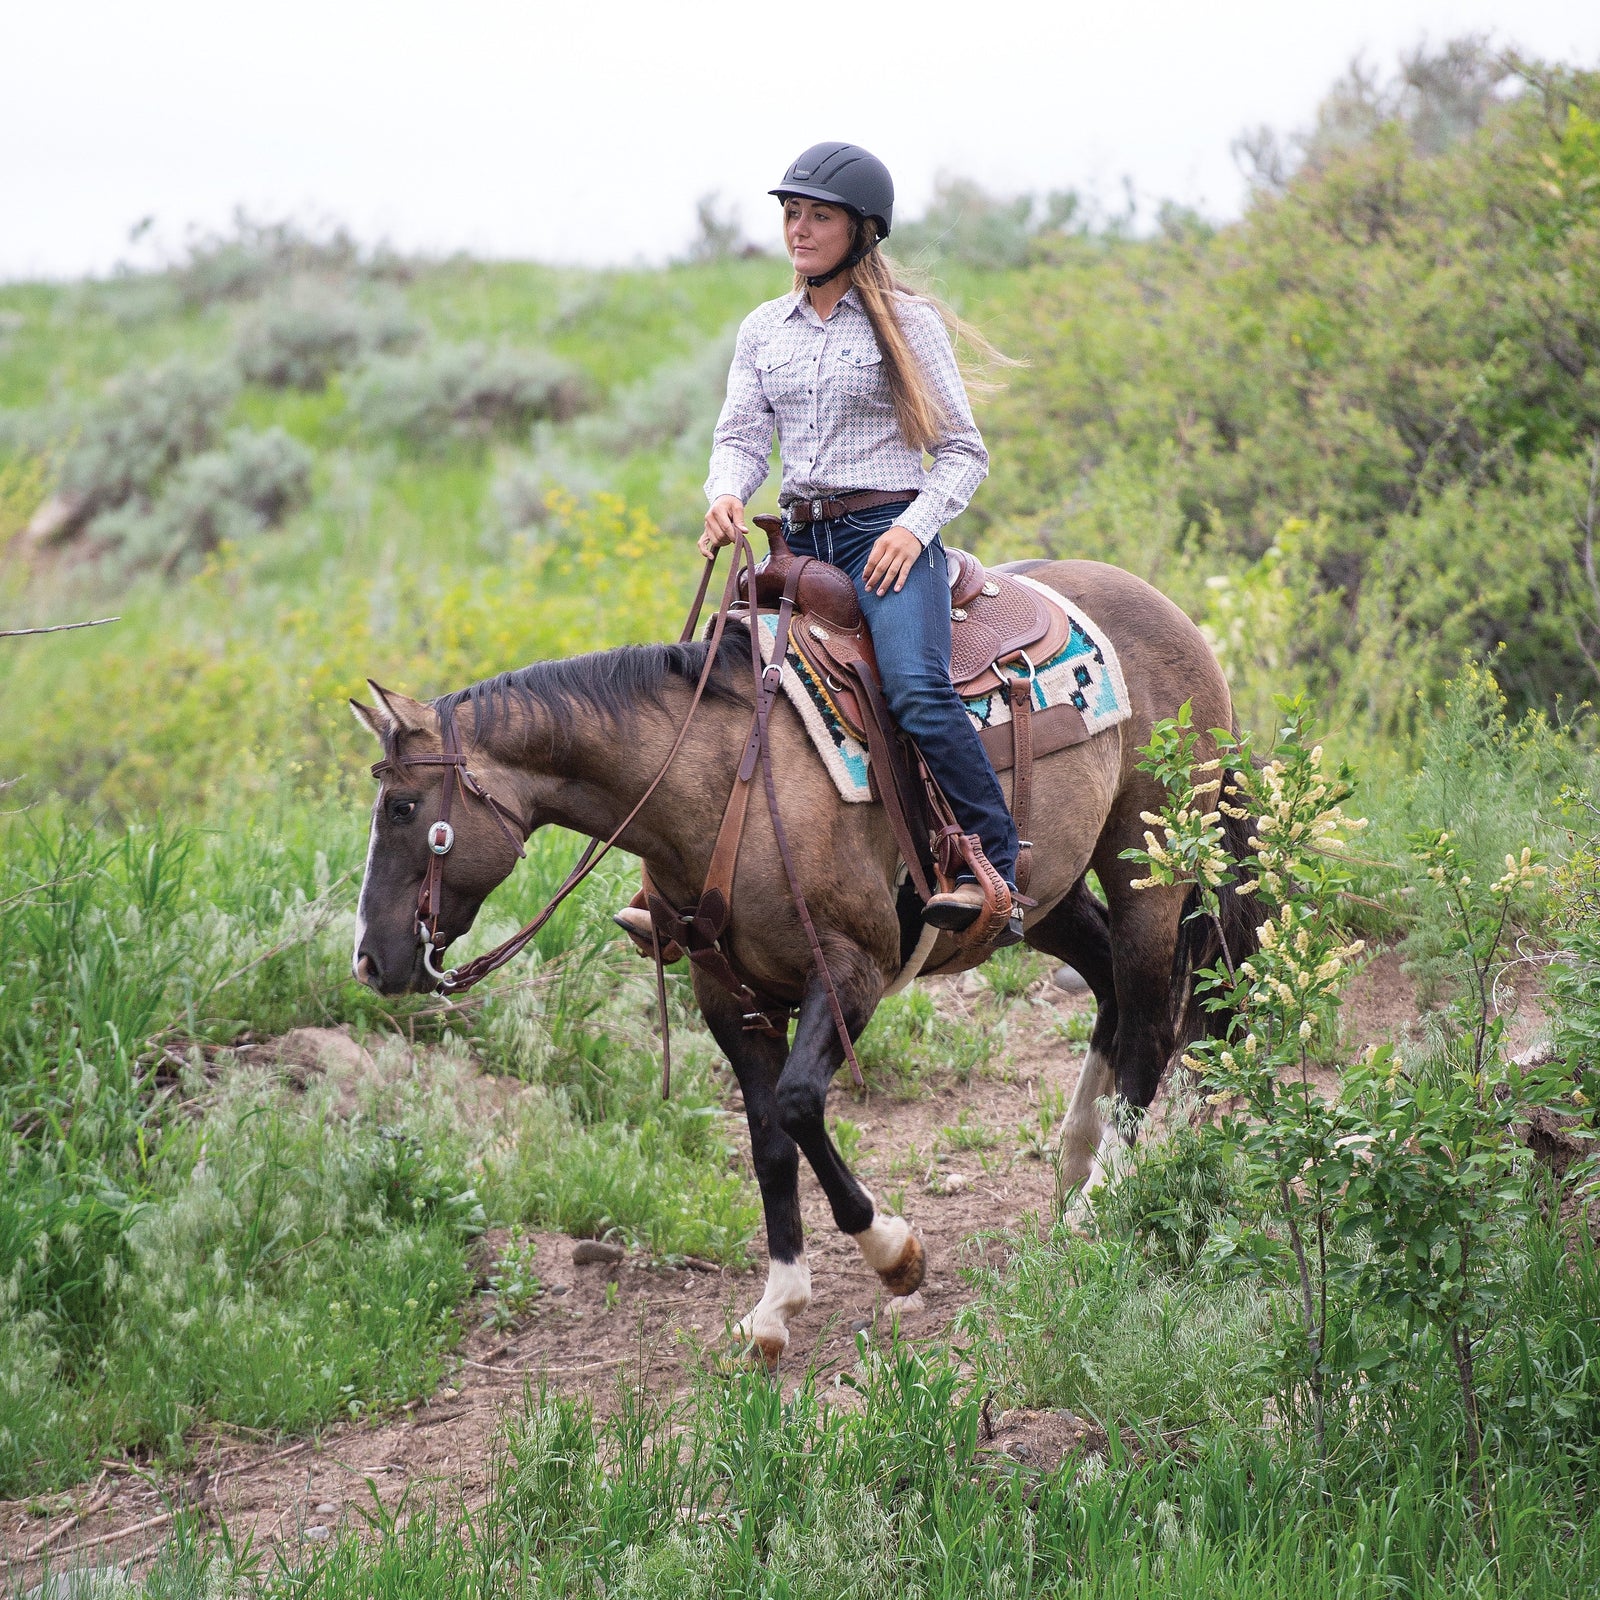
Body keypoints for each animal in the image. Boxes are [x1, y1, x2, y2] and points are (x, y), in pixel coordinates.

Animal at [353, 553, 1260, 1363]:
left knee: (1151, 1017)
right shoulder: (728, 999)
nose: (369, 961)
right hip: (1045, 895)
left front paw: (893, 1252)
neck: (718, 781)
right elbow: (765, 1140)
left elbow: (795, 1106)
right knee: (1111, 987)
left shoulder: (850, 974)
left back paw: (1105, 1191)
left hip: (1149, 864)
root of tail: (1168, 610)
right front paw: (776, 1303)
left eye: (402, 809)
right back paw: (1076, 1157)